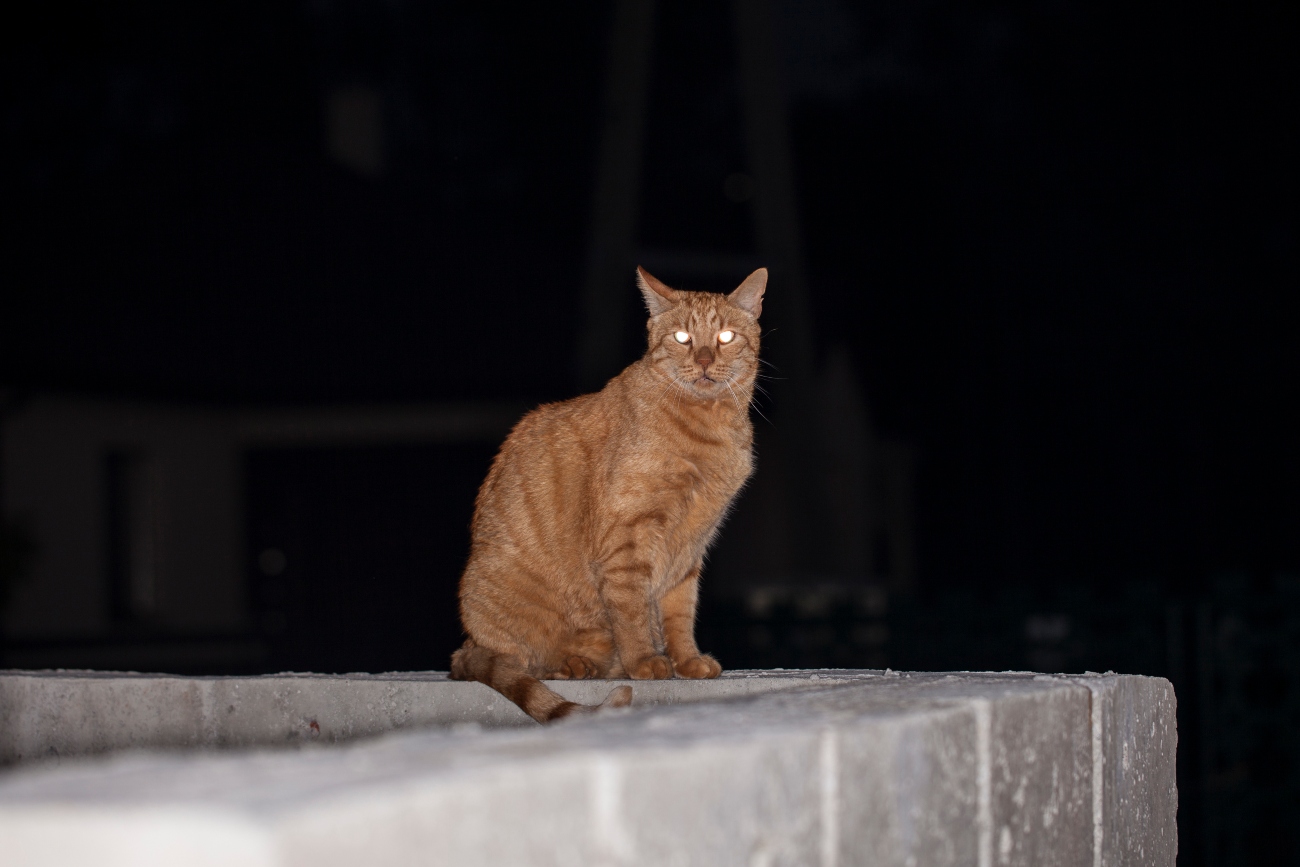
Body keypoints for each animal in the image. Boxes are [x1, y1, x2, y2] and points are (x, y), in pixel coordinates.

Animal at [452, 267, 764, 722]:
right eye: (682, 338)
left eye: (725, 337)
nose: (704, 360)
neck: (707, 428)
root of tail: (468, 645)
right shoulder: (626, 542)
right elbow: (633, 613)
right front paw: (645, 661)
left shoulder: (690, 546)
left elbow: (678, 613)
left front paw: (686, 660)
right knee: (521, 660)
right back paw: (572, 664)